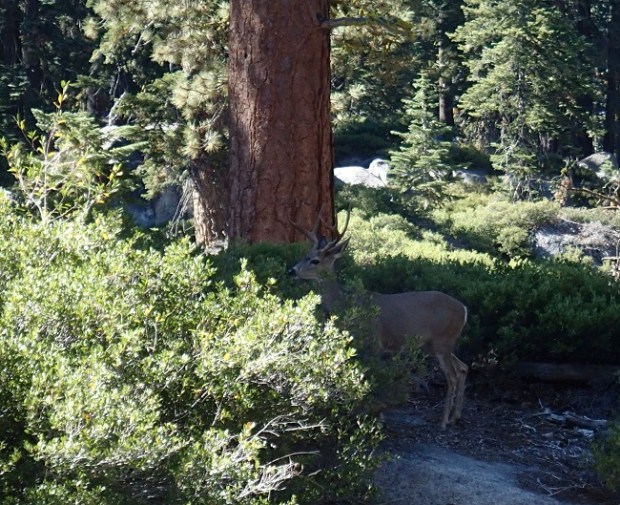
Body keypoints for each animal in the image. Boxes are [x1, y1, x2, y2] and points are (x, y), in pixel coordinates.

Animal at [288, 207, 468, 428]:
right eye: (305, 255)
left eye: (315, 260)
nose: (291, 271)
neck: (347, 306)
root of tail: (464, 309)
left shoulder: (374, 343)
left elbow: (370, 380)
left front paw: (372, 417)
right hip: (435, 344)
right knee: (463, 368)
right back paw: (455, 416)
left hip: (443, 340)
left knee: (452, 376)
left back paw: (443, 422)